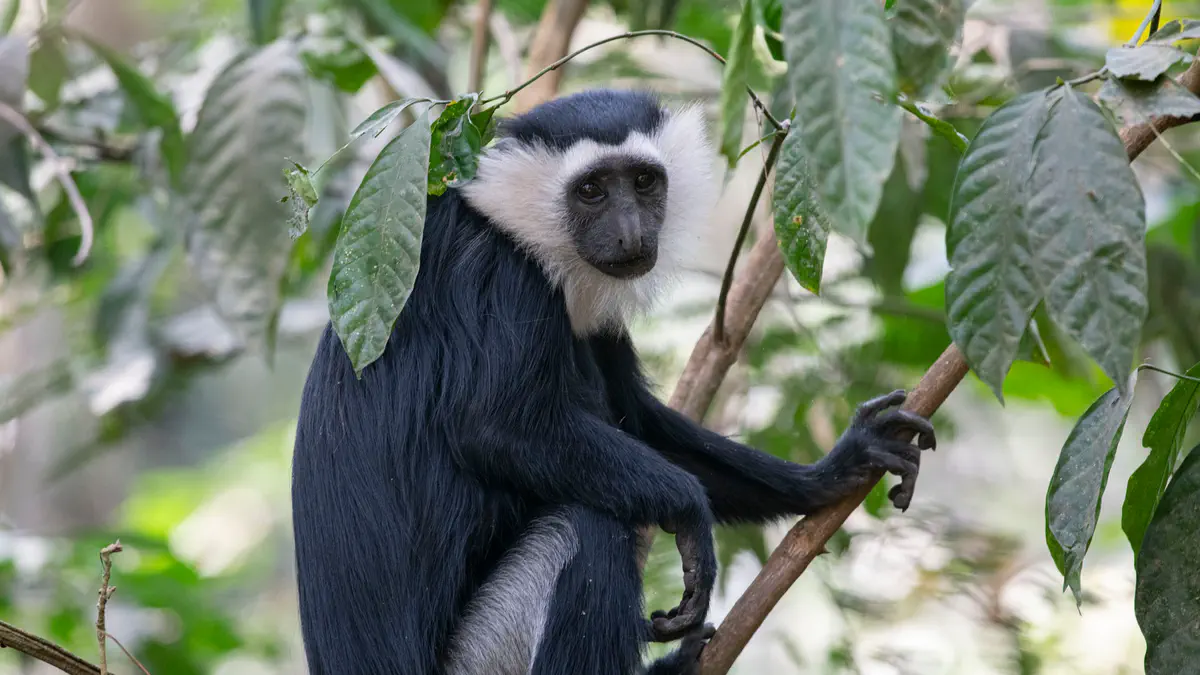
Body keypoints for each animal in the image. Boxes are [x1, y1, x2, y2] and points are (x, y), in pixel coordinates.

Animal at [291, 88, 936, 675]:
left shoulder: (595, 324)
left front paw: (834, 471)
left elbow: (638, 422)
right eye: (591, 190)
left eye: (644, 182)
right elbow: (493, 427)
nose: (629, 234)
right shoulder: (501, 276)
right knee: (587, 526)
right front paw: (690, 517)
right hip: (479, 660)